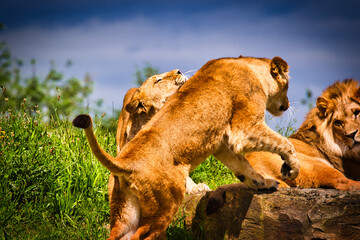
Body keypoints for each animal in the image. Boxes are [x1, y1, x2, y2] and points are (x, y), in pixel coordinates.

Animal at [72, 55, 298, 239]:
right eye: (287, 86)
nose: (287, 104)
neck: (250, 67)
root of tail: (126, 163)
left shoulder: (222, 143)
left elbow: (243, 167)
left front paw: (263, 183)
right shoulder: (244, 129)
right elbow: (284, 142)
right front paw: (290, 169)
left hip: (125, 213)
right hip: (165, 205)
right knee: (142, 236)